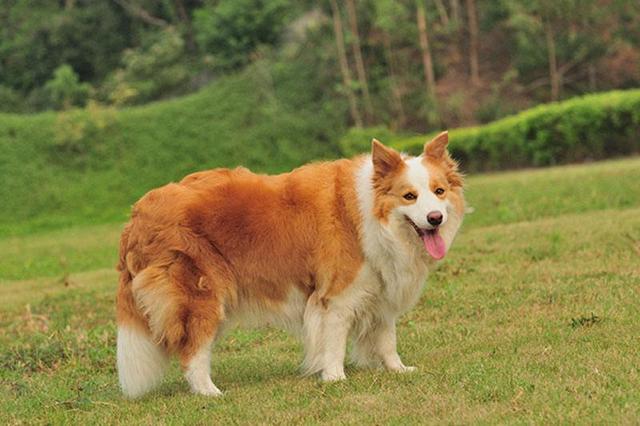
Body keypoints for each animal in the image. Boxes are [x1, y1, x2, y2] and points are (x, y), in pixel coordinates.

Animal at [116, 131, 464, 398]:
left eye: (439, 191)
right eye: (409, 196)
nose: (435, 218)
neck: (372, 217)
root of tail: (136, 215)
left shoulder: (379, 287)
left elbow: (386, 337)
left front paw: (398, 369)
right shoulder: (337, 296)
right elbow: (334, 341)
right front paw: (335, 378)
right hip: (201, 296)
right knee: (193, 351)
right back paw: (210, 393)